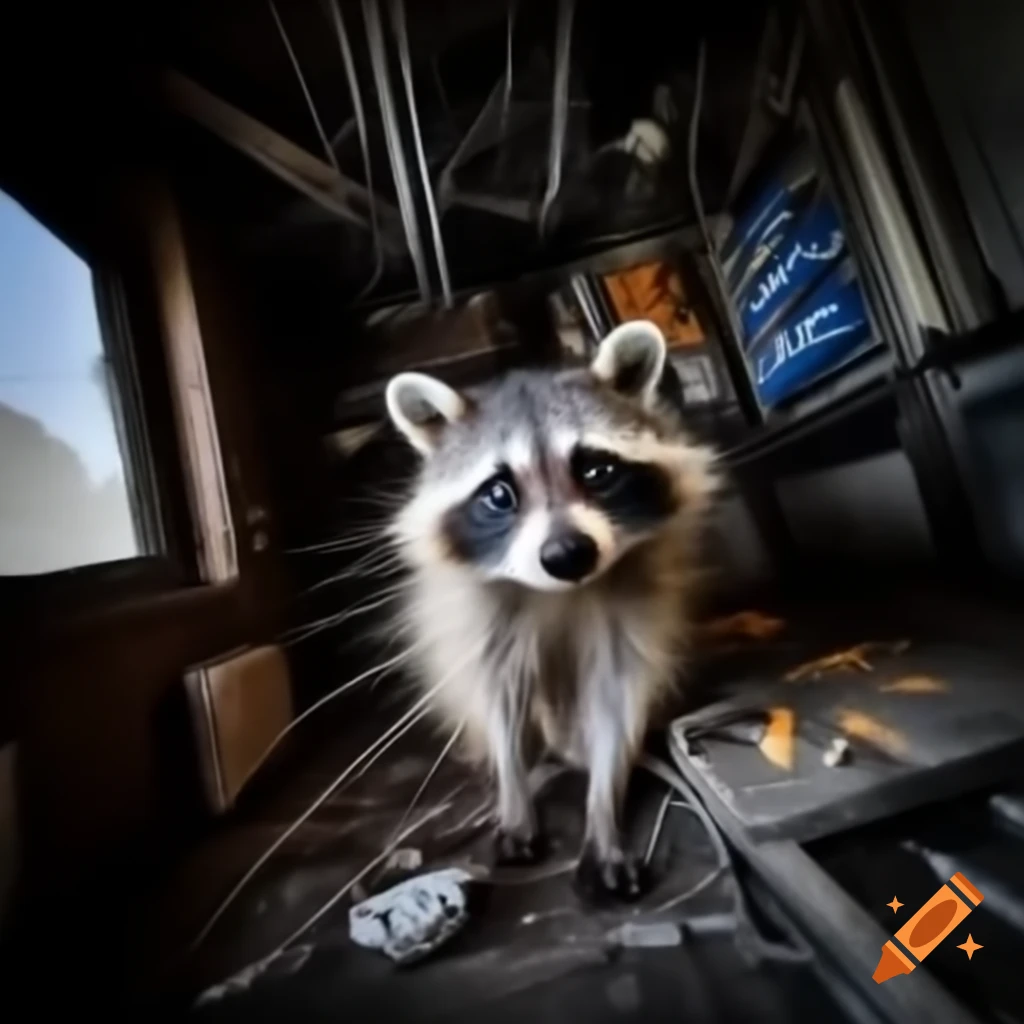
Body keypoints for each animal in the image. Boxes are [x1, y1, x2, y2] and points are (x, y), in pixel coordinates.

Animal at [384, 321, 717, 900]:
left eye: (597, 469)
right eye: (499, 493)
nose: (567, 555)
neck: (563, 592)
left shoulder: (634, 607)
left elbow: (615, 703)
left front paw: (603, 810)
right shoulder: (482, 623)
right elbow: (500, 703)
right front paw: (514, 795)